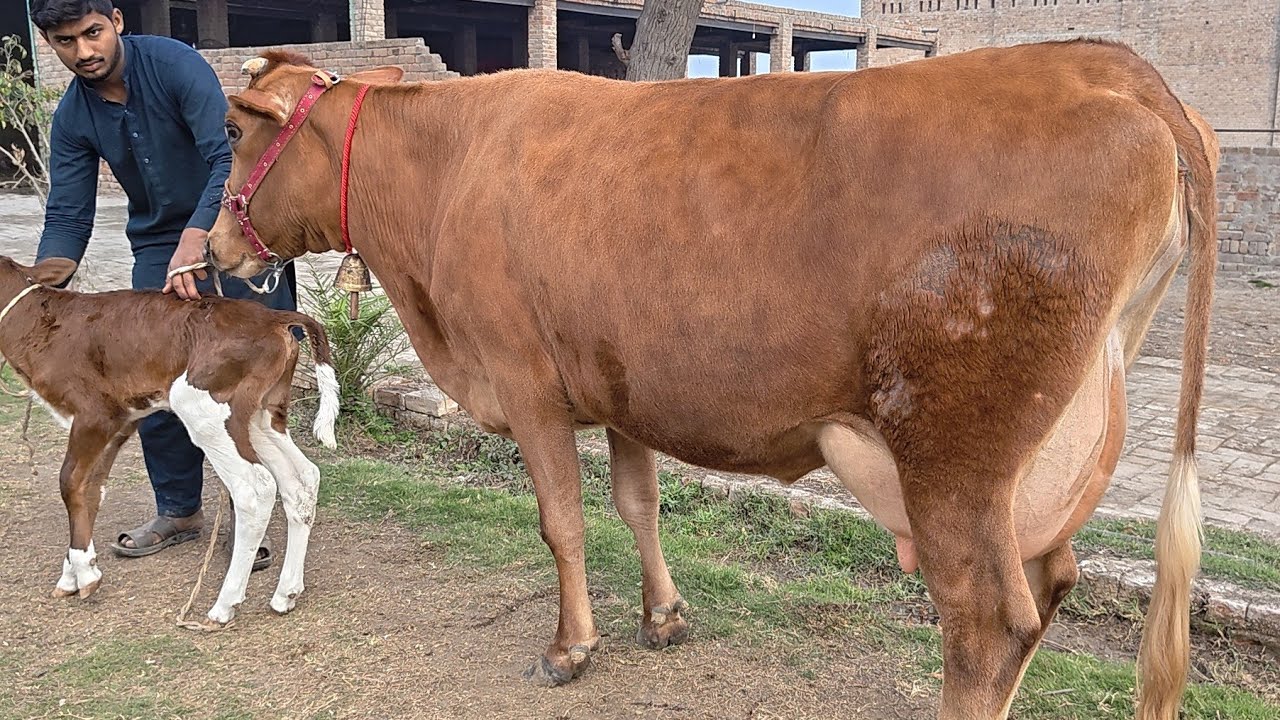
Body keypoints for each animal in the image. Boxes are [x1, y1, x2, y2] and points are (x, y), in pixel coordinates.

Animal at [0, 255, 340, 627]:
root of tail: (273, 317)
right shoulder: (123, 420)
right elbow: (92, 488)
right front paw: (73, 574)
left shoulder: (94, 414)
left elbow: (70, 482)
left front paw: (84, 573)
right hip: (261, 416)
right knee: (302, 478)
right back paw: (286, 593)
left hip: (203, 406)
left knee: (256, 487)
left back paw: (224, 604)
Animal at [204, 39, 1219, 719]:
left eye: (233, 127)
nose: (211, 248)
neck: (443, 174)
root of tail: (1104, 64)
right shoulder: (619, 387)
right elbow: (636, 503)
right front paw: (663, 617)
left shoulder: (526, 382)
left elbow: (562, 521)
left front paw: (571, 648)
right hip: (1047, 456)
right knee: (1051, 583)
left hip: (956, 453)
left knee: (987, 620)